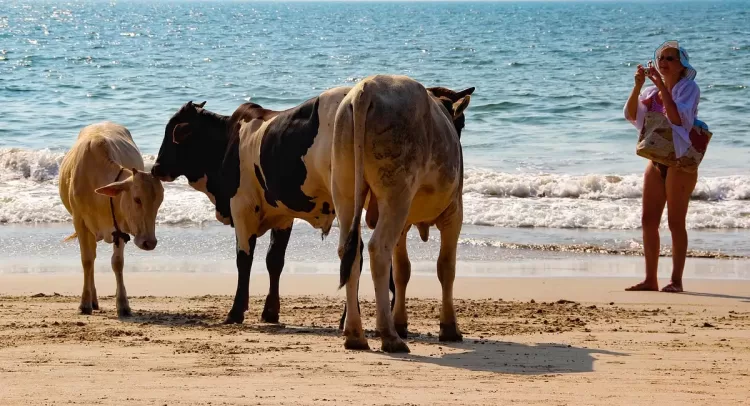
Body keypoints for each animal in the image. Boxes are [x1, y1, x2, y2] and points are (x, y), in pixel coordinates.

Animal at [58, 122, 164, 317]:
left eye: (159, 202)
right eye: (137, 199)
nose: (150, 242)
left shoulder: (120, 228)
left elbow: (117, 263)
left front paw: (123, 304)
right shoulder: (80, 222)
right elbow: (87, 261)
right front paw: (84, 304)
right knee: (91, 259)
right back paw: (92, 301)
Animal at [150, 88, 395, 325]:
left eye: (172, 132)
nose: (155, 168)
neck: (228, 141)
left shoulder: (242, 207)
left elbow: (244, 259)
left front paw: (235, 312)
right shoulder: (282, 215)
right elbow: (274, 260)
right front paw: (270, 312)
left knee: (354, 253)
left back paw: (348, 319)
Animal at [333, 74, 473, 353]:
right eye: (461, 122)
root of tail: (366, 89)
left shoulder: (405, 223)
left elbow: (402, 271)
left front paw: (401, 323)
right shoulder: (454, 212)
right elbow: (446, 268)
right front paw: (449, 327)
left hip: (346, 193)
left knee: (349, 251)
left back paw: (355, 334)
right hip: (396, 196)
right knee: (378, 249)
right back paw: (389, 336)